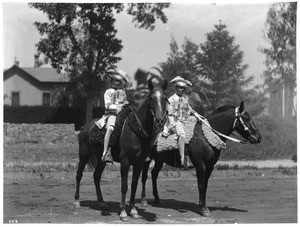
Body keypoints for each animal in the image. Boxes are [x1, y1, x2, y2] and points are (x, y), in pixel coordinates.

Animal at [73, 79, 168, 221]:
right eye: (151, 98)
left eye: (165, 98)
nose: (160, 121)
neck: (136, 131)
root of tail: (85, 127)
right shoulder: (125, 162)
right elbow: (124, 186)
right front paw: (123, 212)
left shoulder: (140, 163)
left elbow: (134, 185)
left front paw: (134, 211)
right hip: (84, 154)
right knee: (79, 174)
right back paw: (77, 201)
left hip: (101, 159)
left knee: (96, 176)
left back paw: (102, 202)